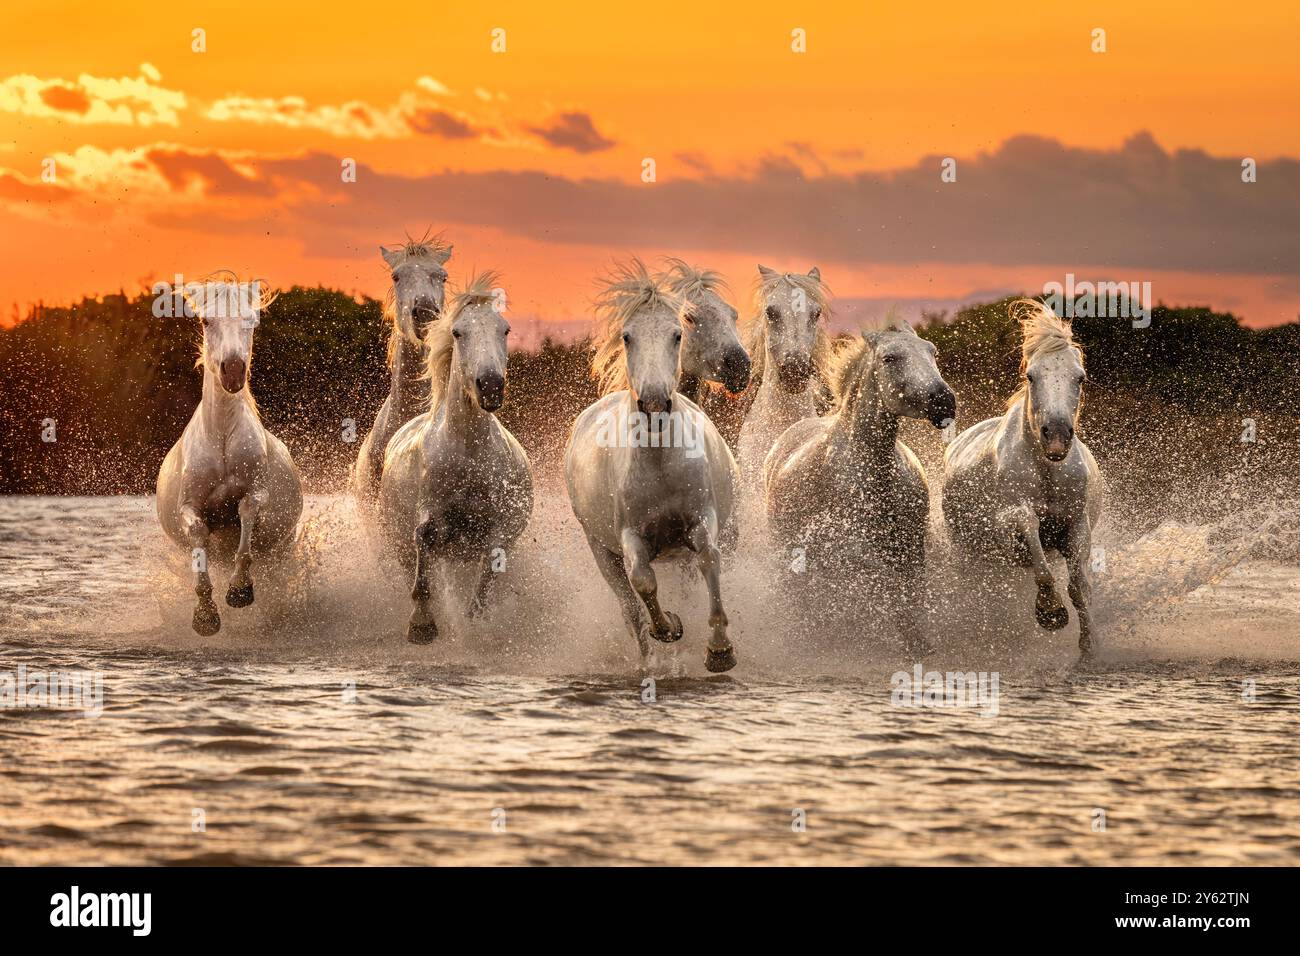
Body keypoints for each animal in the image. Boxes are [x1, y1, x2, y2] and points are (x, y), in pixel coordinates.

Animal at [156, 274, 303, 635]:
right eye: (206, 321)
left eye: (251, 321)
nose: (233, 371)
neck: (222, 435)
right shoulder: (189, 506)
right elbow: (198, 535)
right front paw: (206, 616)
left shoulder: (257, 492)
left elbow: (247, 513)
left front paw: (239, 590)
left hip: (281, 550)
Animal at [375, 272, 533, 644]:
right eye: (459, 332)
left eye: (505, 329)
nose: (490, 386)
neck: (469, 452)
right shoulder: (430, 516)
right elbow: (425, 543)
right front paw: (421, 625)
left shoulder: (500, 528)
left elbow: (488, 574)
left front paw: (474, 623)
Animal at [564, 259, 740, 672]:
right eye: (627, 337)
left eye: (677, 334)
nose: (656, 403)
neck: (661, 460)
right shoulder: (631, 537)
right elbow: (643, 581)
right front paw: (669, 629)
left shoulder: (701, 520)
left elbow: (710, 559)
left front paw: (719, 650)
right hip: (601, 550)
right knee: (629, 607)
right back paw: (649, 663)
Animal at [764, 321, 955, 653]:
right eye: (890, 358)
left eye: (932, 351)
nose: (943, 400)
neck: (874, 472)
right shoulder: (853, 550)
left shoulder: (911, 548)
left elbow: (910, 600)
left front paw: (918, 644)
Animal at [942, 299, 1104, 656]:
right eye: (1031, 376)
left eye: (1080, 378)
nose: (1056, 435)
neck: (1046, 470)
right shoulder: (1008, 523)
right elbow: (1031, 535)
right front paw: (1051, 612)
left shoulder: (1077, 526)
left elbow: (1078, 586)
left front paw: (1089, 646)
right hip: (969, 554)